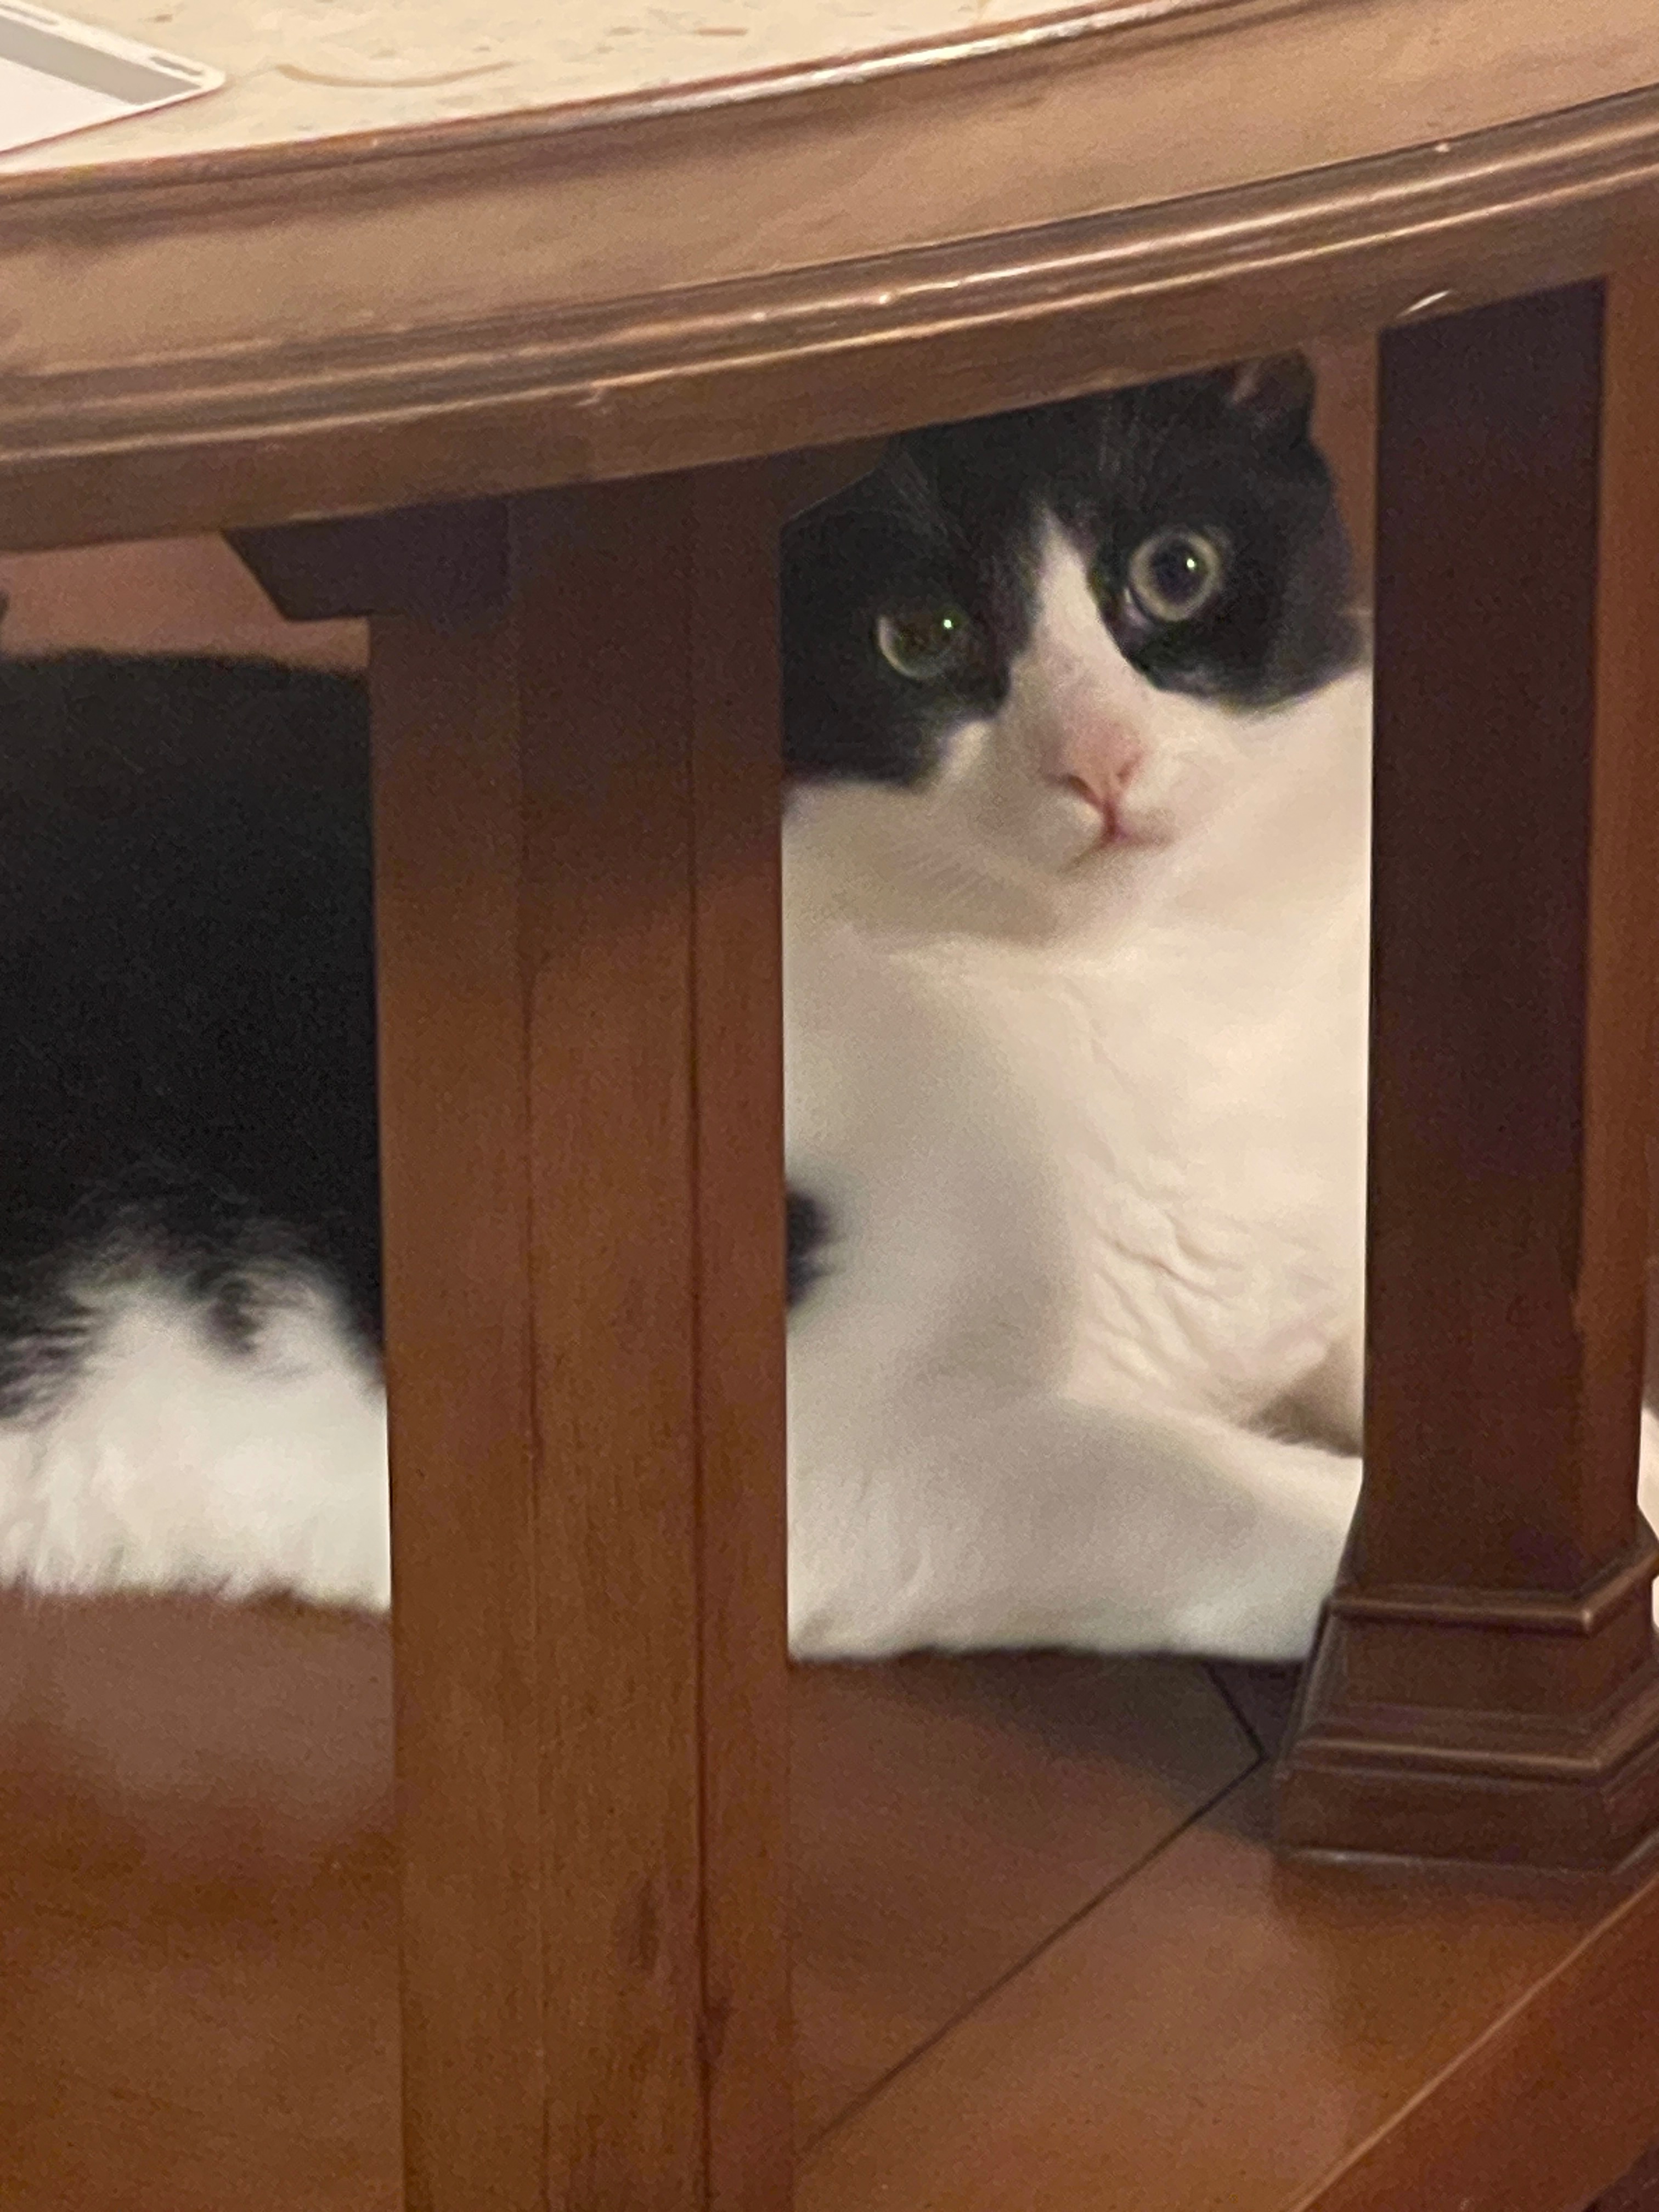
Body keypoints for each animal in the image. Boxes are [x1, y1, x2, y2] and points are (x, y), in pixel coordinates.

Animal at [0, 360, 1650, 1659]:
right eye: (921, 638)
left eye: (1175, 572)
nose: (1101, 760)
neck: (1142, 989)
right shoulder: (825, 1458)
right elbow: (1226, 1493)